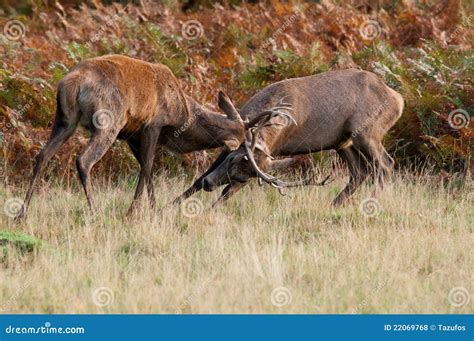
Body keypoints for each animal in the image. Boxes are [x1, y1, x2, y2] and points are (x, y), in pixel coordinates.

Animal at [15, 54, 244, 219]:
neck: (182, 115)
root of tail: (73, 83)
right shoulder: (153, 124)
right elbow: (148, 166)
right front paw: (133, 211)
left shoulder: (131, 136)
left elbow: (146, 168)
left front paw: (153, 209)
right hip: (109, 120)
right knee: (83, 160)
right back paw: (95, 212)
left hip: (64, 120)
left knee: (43, 155)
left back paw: (21, 214)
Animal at [174, 69, 404, 205]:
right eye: (232, 159)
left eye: (245, 177)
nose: (209, 185)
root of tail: (399, 100)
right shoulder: (232, 143)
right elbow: (199, 178)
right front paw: (174, 203)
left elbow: (226, 195)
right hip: (343, 141)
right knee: (360, 171)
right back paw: (335, 204)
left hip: (367, 132)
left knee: (385, 165)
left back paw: (371, 202)